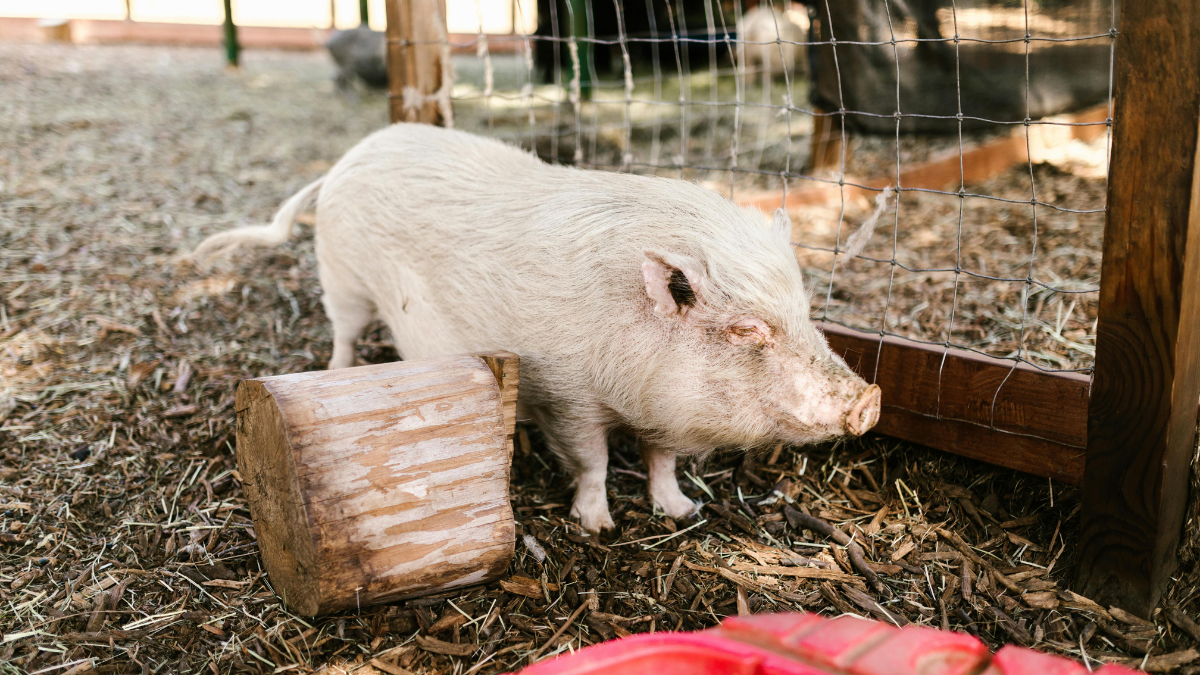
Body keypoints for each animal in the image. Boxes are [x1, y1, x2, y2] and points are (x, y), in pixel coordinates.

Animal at [189, 120, 883, 530]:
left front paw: (683, 512)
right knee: (342, 331)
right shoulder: (564, 397)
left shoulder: (662, 411)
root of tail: (347, 158)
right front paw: (597, 526)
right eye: (745, 331)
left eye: (804, 311)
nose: (870, 399)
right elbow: (594, 461)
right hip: (340, 275)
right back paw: (336, 371)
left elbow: (659, 461)